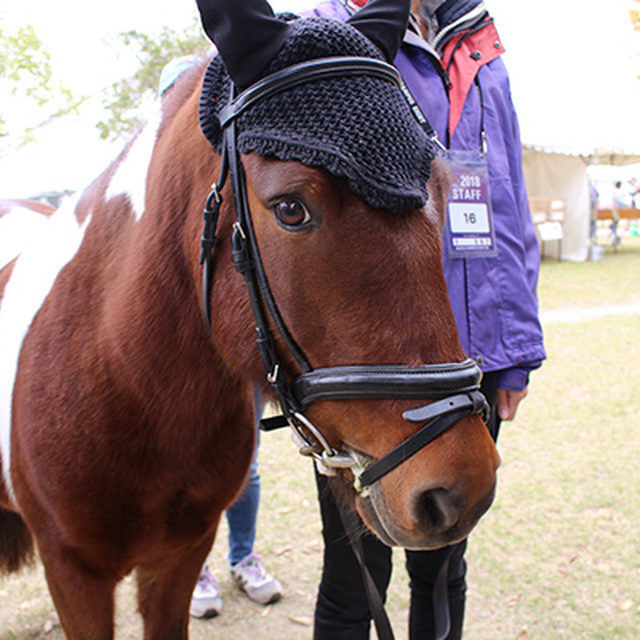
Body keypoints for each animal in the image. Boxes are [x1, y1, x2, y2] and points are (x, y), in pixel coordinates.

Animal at [0, 2, 500, 636]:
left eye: (438, 187)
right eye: (290, 208)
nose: (461, 489)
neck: (123, 377)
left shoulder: (179, 555)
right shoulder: (73, 571)